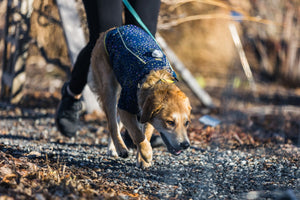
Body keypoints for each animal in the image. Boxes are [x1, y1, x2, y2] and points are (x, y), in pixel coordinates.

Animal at [89, 25, 192, 169]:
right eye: (170, 122)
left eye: (186, 123)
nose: (185, 145)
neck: (157, 80)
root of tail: (113, 29)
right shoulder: (125, 108)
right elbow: (137, 134)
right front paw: (147, 153)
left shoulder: (145, 114)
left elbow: (145, 134)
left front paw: (142, 158)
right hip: (109, 89)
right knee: (112, 124)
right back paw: (120, 148)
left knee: (116, 123)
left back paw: (113, 148)